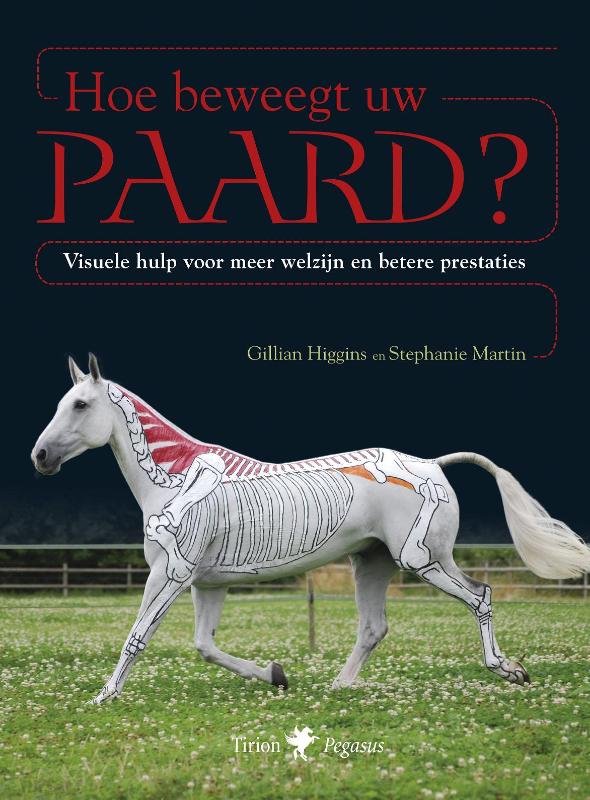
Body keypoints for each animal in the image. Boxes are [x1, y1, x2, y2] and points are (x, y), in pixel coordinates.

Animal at [31, 354, 590, 704]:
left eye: (80, 405)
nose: (40, 456)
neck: (175, 479)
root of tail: (431, 463)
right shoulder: (206, 584)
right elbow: (205, 647)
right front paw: (276, 676)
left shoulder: (170, 574)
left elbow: (137, 636)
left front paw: (105, 695)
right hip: (372, 562)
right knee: (374, 627)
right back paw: (340, 686)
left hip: (423, 560)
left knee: (480, 595)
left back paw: (509, 670)